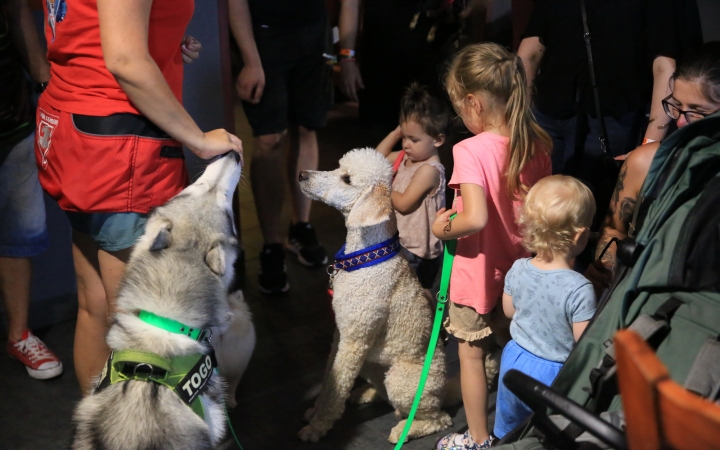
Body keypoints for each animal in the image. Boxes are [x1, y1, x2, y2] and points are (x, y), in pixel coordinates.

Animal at [296, 148, 450, 442]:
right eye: (337, 167)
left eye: (346, 179)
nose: (301, 174)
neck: (367, 255)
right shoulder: (341, 335)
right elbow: (330, 379)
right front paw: (316, 411)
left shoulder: (354, 339)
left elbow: (334, 391)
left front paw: (318, 427)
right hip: (370, 364)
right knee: (385, 395)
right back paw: (364, 394)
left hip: (402, 381)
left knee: (438, 419)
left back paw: (405, 430)